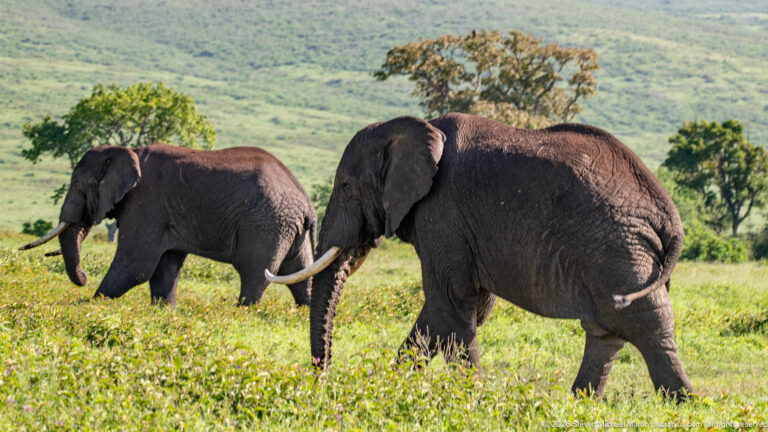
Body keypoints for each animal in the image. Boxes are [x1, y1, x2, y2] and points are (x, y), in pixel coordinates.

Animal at [21, 143, 316, 307]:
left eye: (80, 184)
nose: (83, 277)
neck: (128, 151)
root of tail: (306, 204)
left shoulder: (145, 202)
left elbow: (136, 264)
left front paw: (92, 303)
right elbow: (165, 266)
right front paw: (164, 312)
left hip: (265, 224)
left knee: (254, 271)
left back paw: (241, 312)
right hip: (287, 227)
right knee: (298, 273)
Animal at [266, 112, 694, 398]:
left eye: (345, 186)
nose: (323, 379)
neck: (416, 128)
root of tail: (668, 213)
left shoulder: (442, 212)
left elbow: (451, 303)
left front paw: (467, 397)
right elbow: (452, 313)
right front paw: (389, 387)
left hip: (620, 251)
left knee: (646, 325)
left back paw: (685, 406)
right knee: (608, 333)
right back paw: (578, 405)